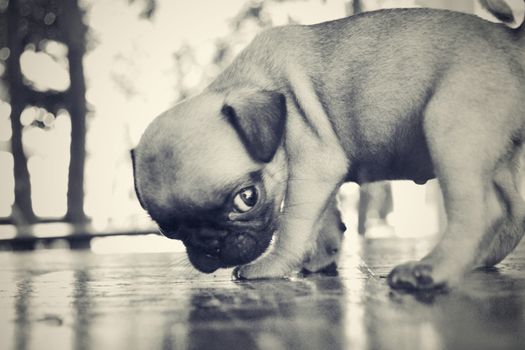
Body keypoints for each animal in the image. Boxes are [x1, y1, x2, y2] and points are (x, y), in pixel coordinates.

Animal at [132, 0, 525, 290]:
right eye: (169, 229)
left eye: (247, 198)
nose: (210, 244)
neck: (255, 83)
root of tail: (511, 41)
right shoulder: (317, 176)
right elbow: (324, 219)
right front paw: (322, 256)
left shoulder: (312, 169)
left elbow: (293, 226)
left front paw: (272, 266)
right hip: (500, 156)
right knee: (513, 214)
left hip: (450, 125)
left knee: (480, 212)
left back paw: (431, 270)